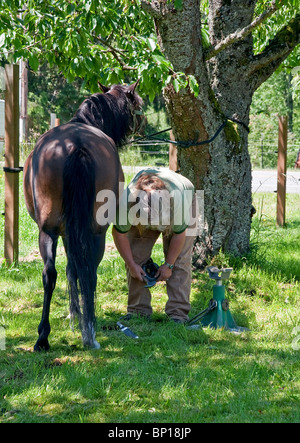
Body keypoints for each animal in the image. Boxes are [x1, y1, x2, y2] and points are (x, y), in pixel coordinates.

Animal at [23, 81, 143, 352]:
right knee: (87, 272)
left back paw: (44, 337)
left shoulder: (67, 233)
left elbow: (70, 270)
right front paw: (76, 315)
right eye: (137, 103)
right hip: (95, 232)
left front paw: (74, 314)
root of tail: (76, 145)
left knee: (50, 274)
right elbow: (75, 269)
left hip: (49, 231)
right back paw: (87, 332)